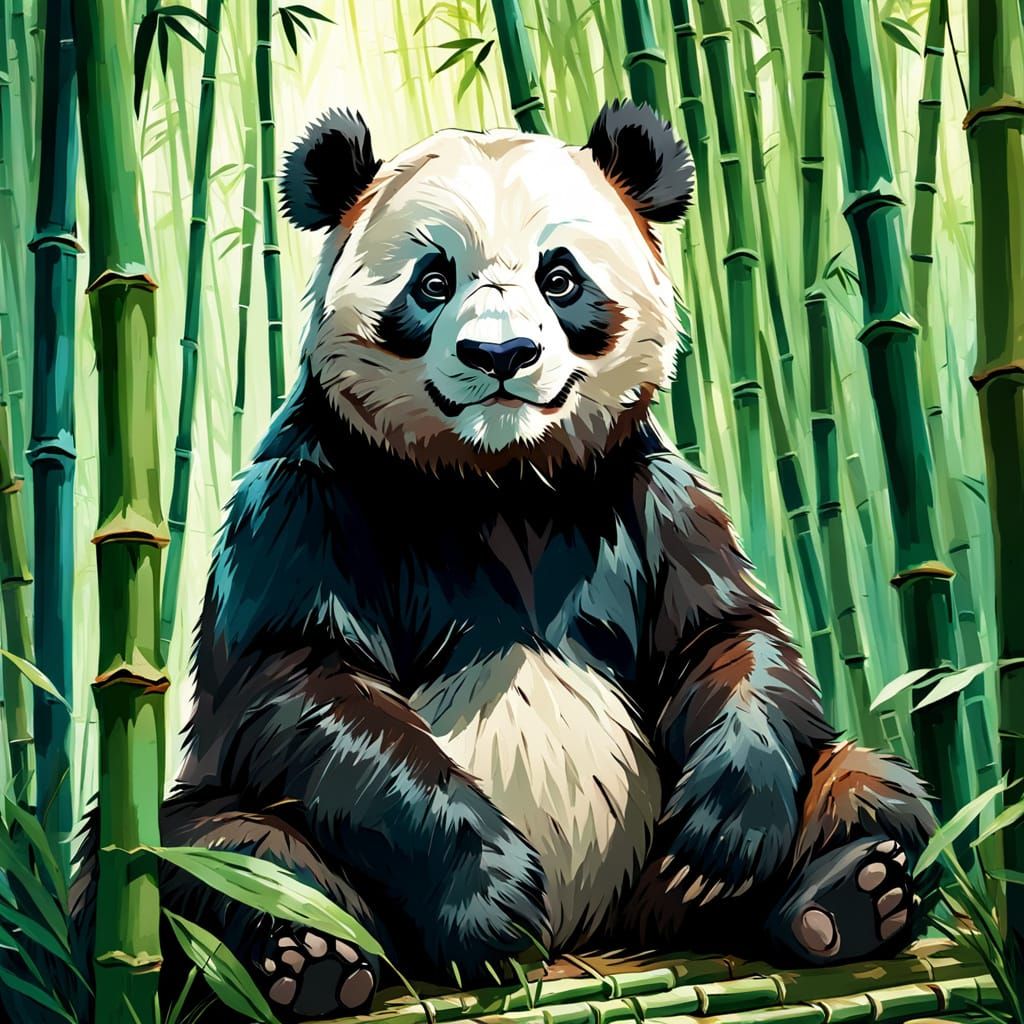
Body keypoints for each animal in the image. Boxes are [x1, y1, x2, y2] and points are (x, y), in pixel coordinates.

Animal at [74, 101, 934, 1023]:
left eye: (559, 279)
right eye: (432, 281)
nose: (501, 356)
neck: (500, 477)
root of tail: (593, 929)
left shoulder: (645, 490)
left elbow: (724, 636)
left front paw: (720, 840)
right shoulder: (311, 495)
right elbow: (304, 677)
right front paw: (489, 896)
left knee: (874, 784)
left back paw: (848, 896)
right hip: (227, 856)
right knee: (201, 857)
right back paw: (308, 959)